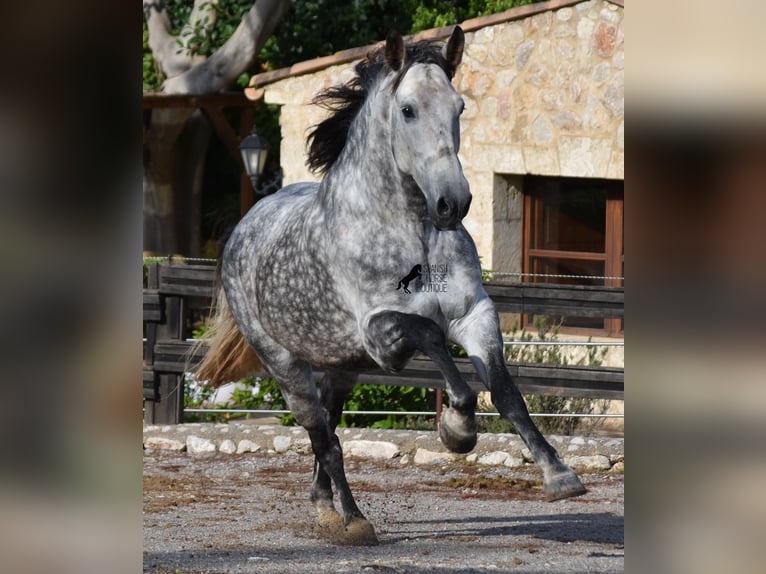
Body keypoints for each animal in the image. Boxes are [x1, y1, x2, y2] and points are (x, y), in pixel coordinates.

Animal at [198, 28, 588, 548]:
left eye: (460, 106)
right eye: (407, 110)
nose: (453, 203)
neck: (409, 231)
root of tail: (244, 227)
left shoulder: (475, 313)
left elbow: (506, 392)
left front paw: (560, 476)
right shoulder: (380, 334)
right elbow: (431, 336)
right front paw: (457, 429)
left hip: (341, 368)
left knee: (329, 428)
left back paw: (326, 509)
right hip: (285, 365)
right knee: (324, 437)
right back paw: (354, 520)